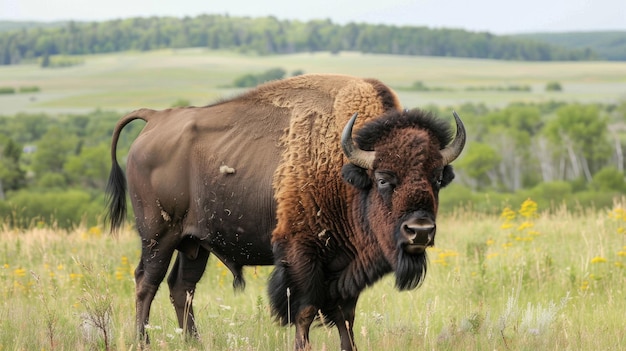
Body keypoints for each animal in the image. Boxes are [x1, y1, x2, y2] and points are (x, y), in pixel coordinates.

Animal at [105, 73, 464, 350]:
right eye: (383, 179)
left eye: (436, 178)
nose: (420, 231)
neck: (345, 170)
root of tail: (156, 118)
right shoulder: (301, 258)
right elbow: (304, 312)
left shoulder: (346, 267)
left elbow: (346, 317)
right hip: (158, 236)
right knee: (146, 282)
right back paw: (142, 341)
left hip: (194, 244)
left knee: (182, 287)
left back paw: (195, 342)